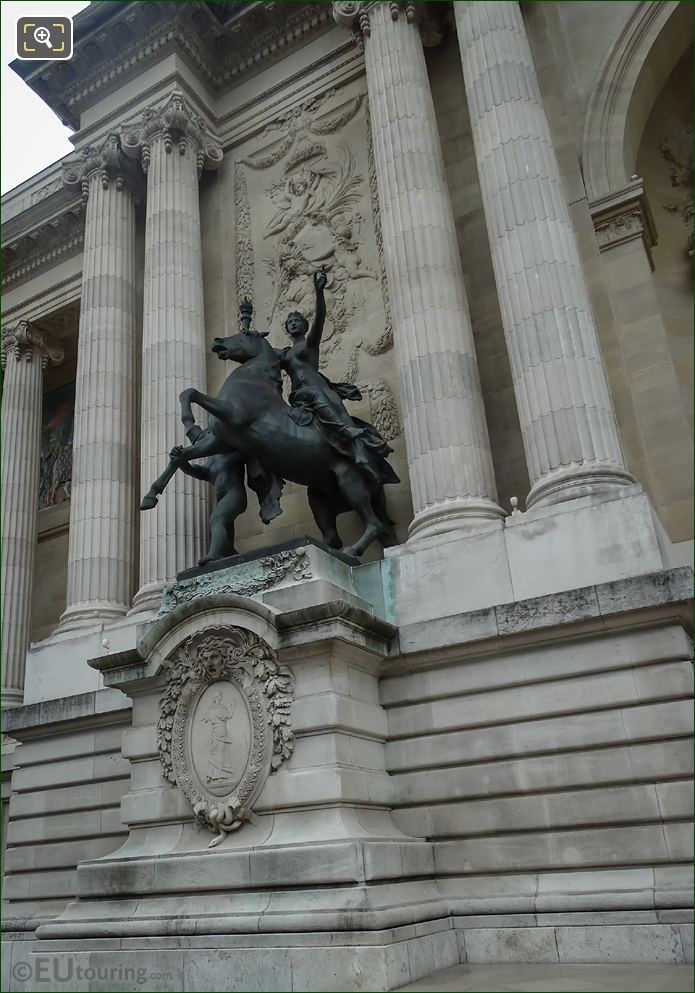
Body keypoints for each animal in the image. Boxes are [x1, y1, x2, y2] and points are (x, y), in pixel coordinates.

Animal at [140, 332, 396, 560]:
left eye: (244, 333)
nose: (217, 340)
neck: (252, 381)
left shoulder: (233, 415)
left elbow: (191, 392)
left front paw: (188, 421)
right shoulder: (222, 439)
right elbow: (182, 454)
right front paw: (150, 496)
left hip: (350, 482)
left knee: (373, 524)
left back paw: (352, 551)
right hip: (321, 497)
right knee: (356, 532)